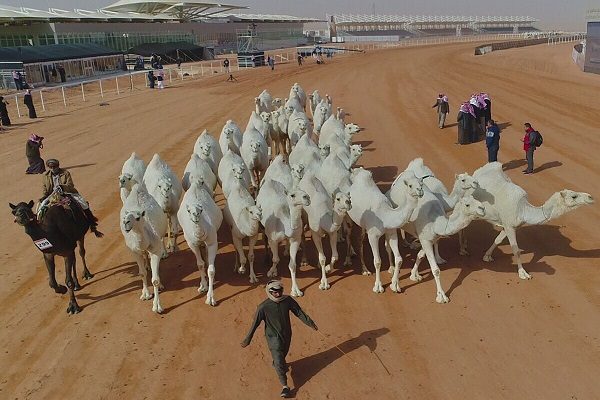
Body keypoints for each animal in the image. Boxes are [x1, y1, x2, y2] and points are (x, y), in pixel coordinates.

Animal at [119, 184, 168, 312]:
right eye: (126, 216)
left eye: (137, 217)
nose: (125, 222)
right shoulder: (134, 252)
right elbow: (141, 273)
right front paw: (145, 294)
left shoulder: (155, 250)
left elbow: (155, 280)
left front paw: (157, 306)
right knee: (145, 254)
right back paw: (147, 266)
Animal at [180, 178, 225, 306]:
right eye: (189, 210)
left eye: (200, 209)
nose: (195, 215)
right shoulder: (192, 244)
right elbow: (199, 264)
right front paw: (203, 286)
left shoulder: (212, 243)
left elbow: (211, 270)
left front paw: (210, 298)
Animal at [346, 166, 422, 294]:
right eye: (410, 185)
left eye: (421, 183)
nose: (420, 191)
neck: (385, 216)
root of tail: (357, 171)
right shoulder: (373, 236)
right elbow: (377, 261)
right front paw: (378, 286)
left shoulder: (392, 232)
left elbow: (399, 259)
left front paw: (395, 285)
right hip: (348, 214)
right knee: (351, 234)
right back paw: (359, 266)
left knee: (360, 239)